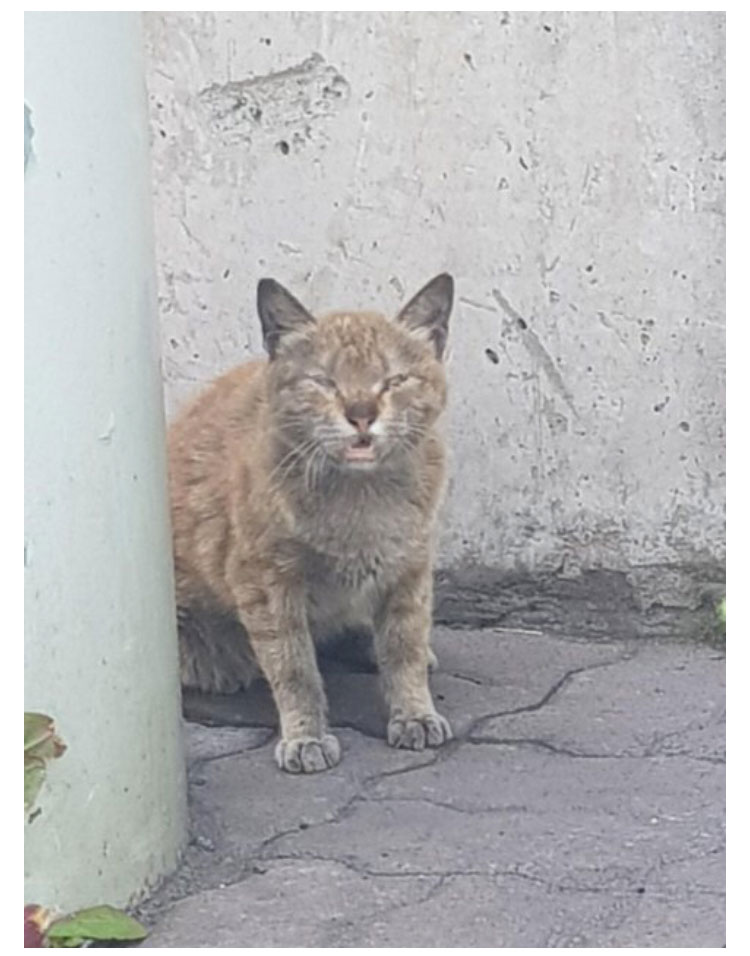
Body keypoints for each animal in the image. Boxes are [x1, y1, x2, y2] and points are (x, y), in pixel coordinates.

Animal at [168, 272, 456, 772]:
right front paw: (306, 737)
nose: (361, 414)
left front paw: (414, 713)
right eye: (323, 381)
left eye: (394, 380)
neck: (361, 499)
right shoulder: (268, 585)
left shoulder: (410, 569)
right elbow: (294, 667)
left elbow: (405, 648)